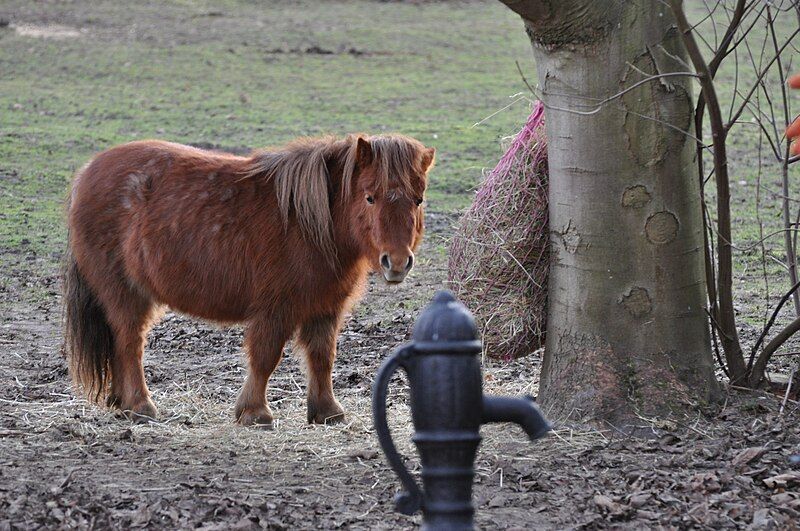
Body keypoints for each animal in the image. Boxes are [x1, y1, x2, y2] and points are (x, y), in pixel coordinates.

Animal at [63, 135, 434, 426]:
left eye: (418, 200)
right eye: (370, 197)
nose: (397, 262)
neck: (308, 225)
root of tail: (87, 174)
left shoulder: (325, 309)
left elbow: (322, 356)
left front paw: (327, 412)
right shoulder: (275, 309)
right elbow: (265, 357)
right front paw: (255, 413)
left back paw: (121, 403)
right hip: (125, 294)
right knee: (129, 343)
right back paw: (141, 406)